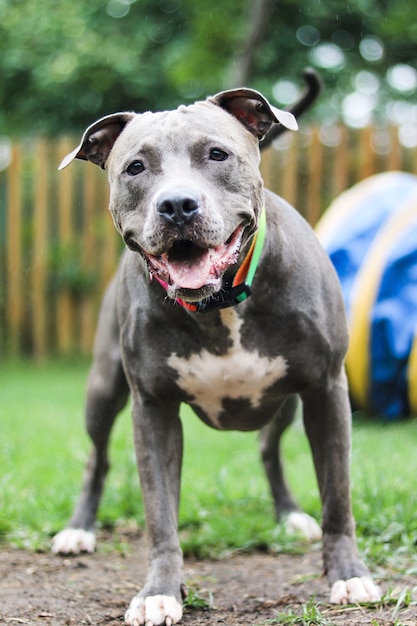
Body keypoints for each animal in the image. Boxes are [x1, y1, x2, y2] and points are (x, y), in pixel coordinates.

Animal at [52, 78, 380, 624]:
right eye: (135, 167)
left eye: (217, 154)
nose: (177, 204)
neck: (220, 302)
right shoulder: (153, 410)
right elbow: (160, 515)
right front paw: (159, 591)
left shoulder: (326, 391)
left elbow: (338, 496)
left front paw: (349, 575)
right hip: (103, 388)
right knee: (96, 460)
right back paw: (79, 529)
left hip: (288, 404)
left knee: (270, 450)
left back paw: (291, 515)